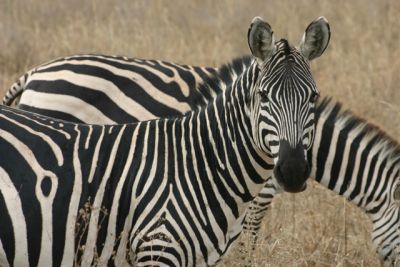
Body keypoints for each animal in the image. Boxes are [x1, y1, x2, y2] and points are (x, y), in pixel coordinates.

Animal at [0, 17, 330, 266]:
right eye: (263, 96)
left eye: (313, 97)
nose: (293, 171)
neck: (202, 165)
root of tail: (34, 73)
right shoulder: (158, 245)